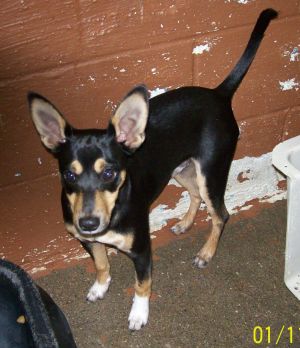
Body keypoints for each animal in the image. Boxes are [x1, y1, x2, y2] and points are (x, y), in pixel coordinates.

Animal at [27, 7, 276, 328]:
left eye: (109, 173)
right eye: (69, 174)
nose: (88, 223)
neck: (114, 210)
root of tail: (219, 94)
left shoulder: (142, 251)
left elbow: (142, 284)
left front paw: (139, 313)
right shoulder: (88, 241)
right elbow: (101, 263)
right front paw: (100, 286)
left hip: (211, 172)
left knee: (221, 214)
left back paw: (206, 253)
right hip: (181, 171)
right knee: (195, 196)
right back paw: (184, 223)